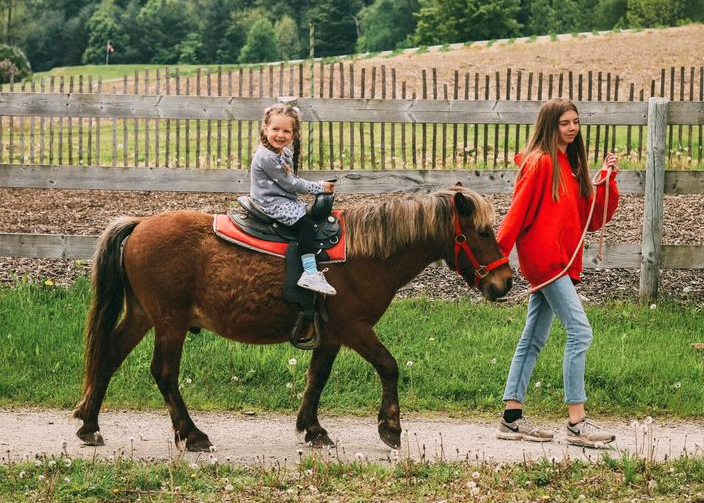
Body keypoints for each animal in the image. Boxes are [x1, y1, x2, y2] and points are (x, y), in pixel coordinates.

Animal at [73, 186, 513, 451]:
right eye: (482, 232)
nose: (505, 282)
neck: (364, 253)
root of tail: (139, 225)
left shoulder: (332, 334)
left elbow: (317, 377)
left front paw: (312, 429)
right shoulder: (354, 328)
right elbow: (389, 366)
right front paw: (390, 427)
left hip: (143, 316)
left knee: (108, 358)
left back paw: (90, 424)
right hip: (170, 322)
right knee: (164, 373)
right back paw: (191, 433)